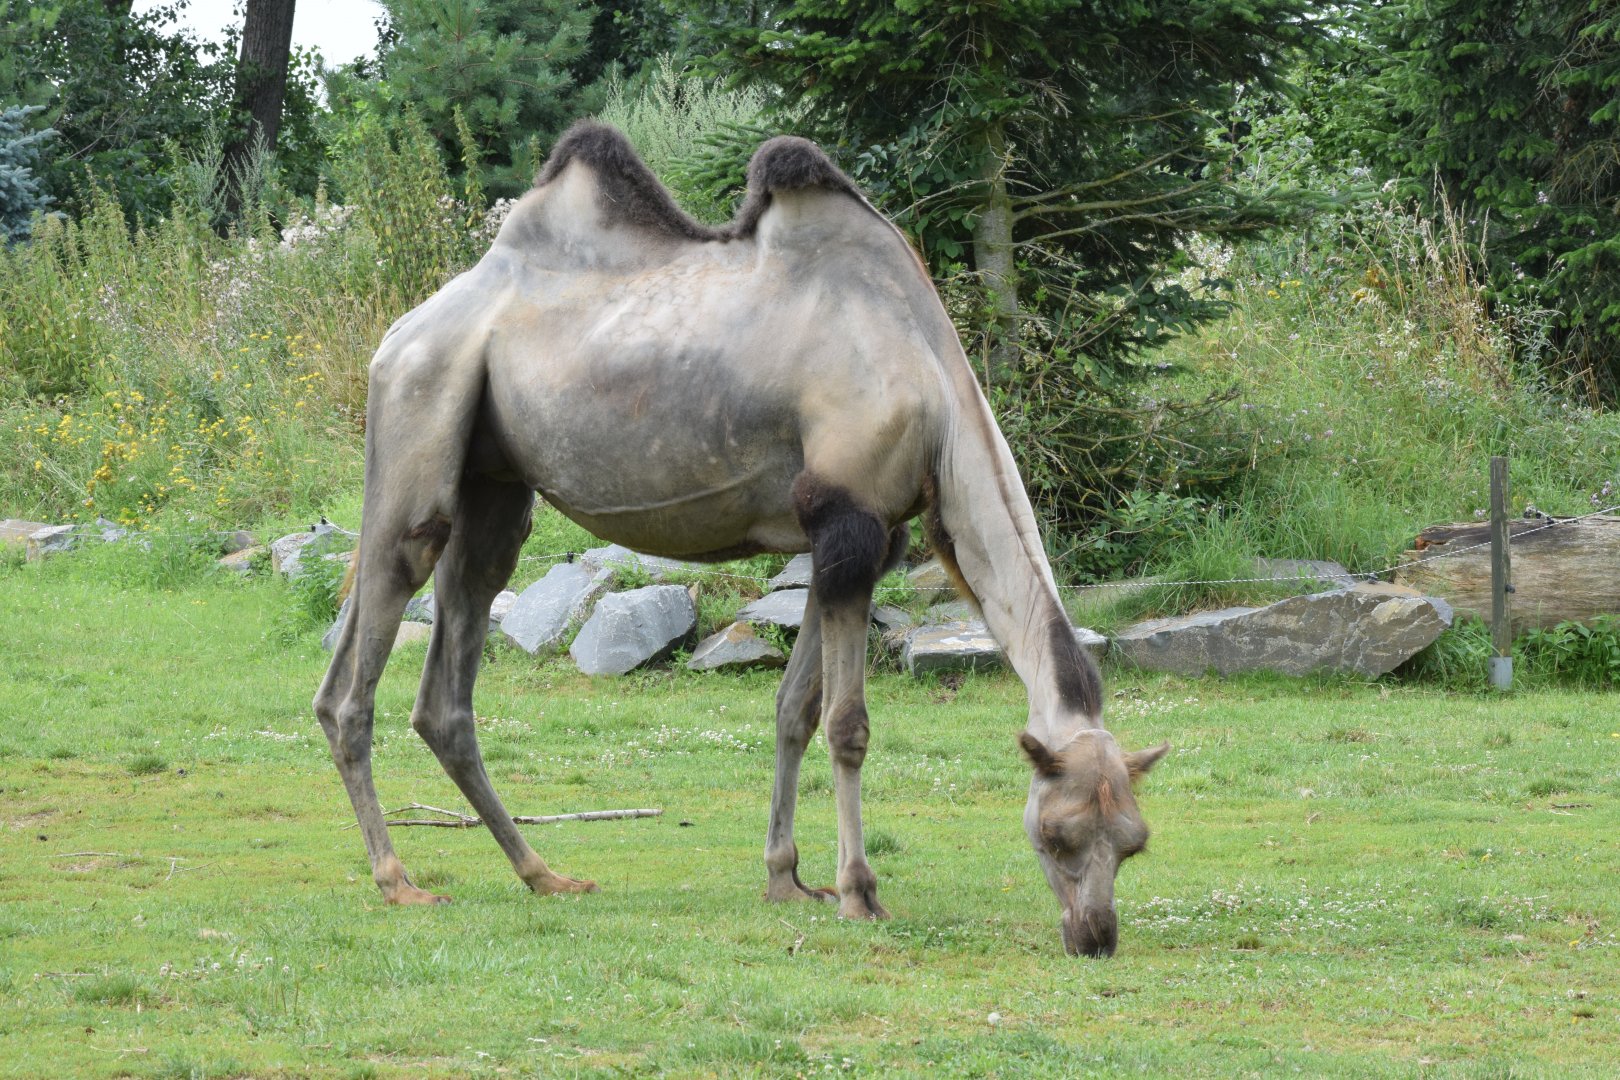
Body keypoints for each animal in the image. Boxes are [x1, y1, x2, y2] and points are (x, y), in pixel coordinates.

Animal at [313, 121, 1169, 957]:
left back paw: (544, 874)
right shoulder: (847, 519)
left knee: (444, 667)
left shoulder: (862, 537)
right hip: (420, 407)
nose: (1095, 936)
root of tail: (398, 333)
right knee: (370, 650)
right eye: (1056, 834)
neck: (930, 387)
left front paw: (787, 879)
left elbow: (795, 708)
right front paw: (858, 893)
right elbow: (848, 724)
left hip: (493, 478)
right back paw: (398, 879)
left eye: (1133, 841)